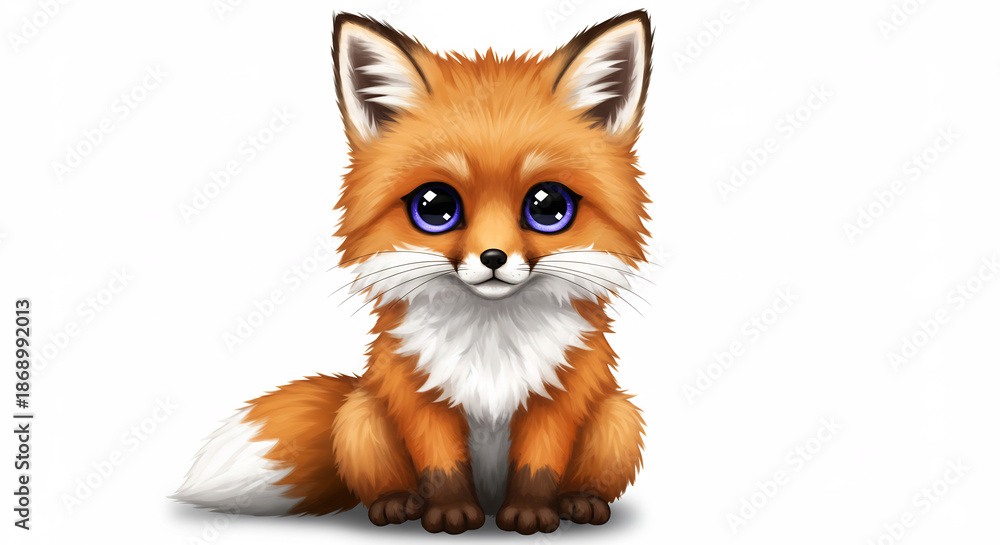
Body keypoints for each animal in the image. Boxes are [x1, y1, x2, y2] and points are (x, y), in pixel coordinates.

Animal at [174, 10, 653, 535]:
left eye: (548, 207)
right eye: (435, 206)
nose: (493, 257)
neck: (492, 345)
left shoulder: (560, 396)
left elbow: (538, 465)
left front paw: (529, 511)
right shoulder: (418, 395)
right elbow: (441, 466)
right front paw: (449, 513)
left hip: (618, 415)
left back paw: (580, 501)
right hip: (360, 413)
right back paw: (395, 503)